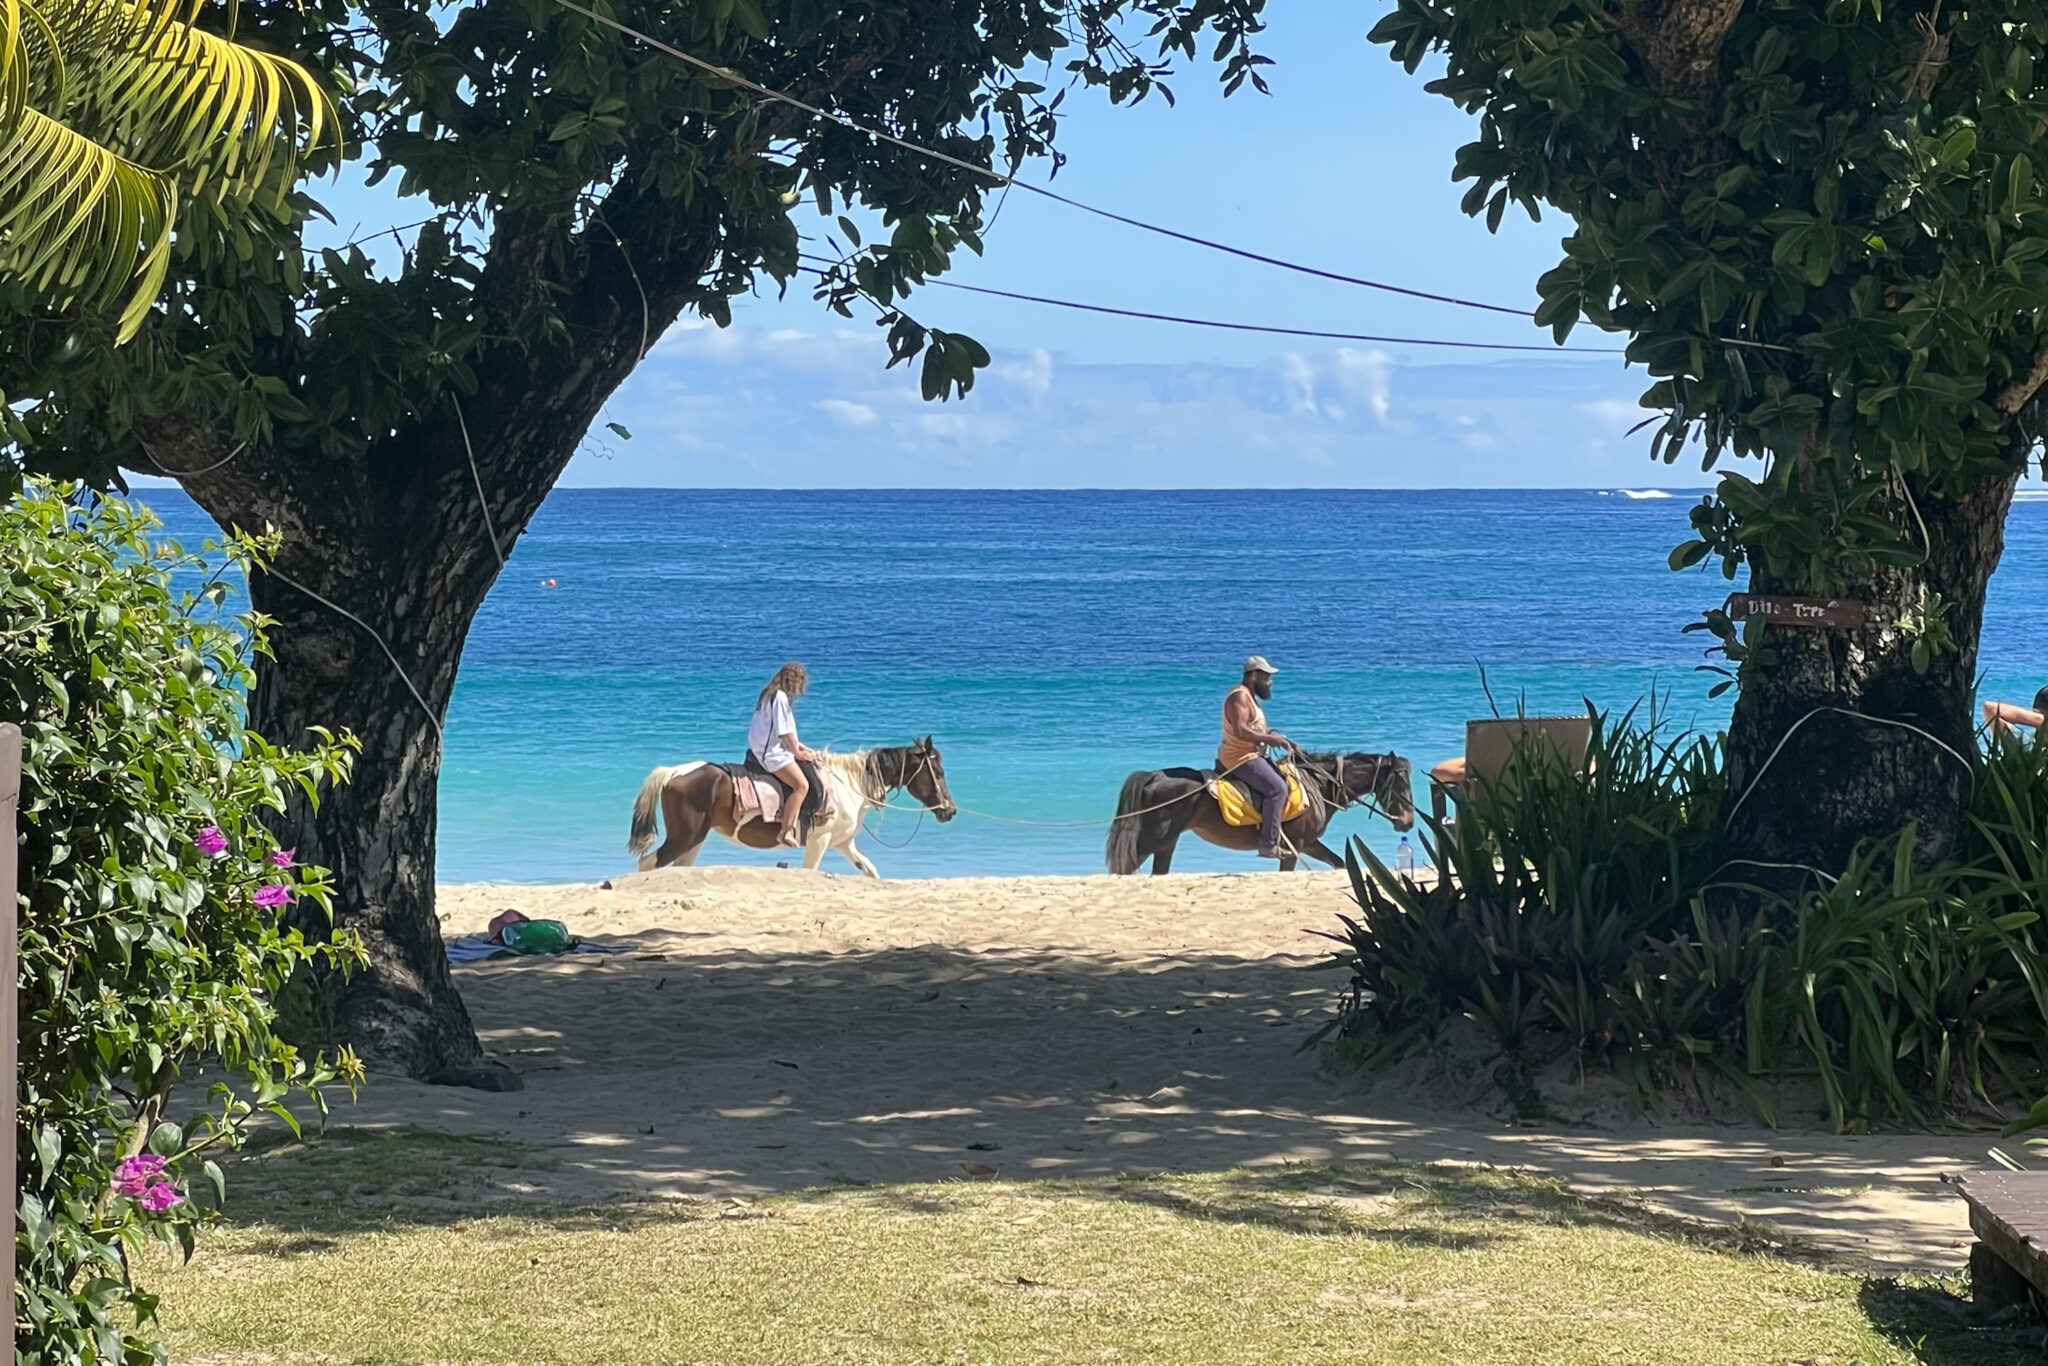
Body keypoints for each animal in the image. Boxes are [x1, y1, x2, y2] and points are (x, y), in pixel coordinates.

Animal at [622, 741, 950, 880]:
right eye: (937, 771)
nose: (950, 810)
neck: (850, 783)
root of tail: (673, 773)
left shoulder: (844, 843)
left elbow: (870, 871)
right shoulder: (820, 840)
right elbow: (810, 872)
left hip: (694, 840)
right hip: (685, 837)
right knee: (648, 864)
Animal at [1105, 749, 1409, 876]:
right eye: (1402, 783)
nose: (1407, 822)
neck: (1316, 785)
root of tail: (1154, 775)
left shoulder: (1309, 843)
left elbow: (1340, 863)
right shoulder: (1295, 846)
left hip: (1165, 843)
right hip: (1150, 840)